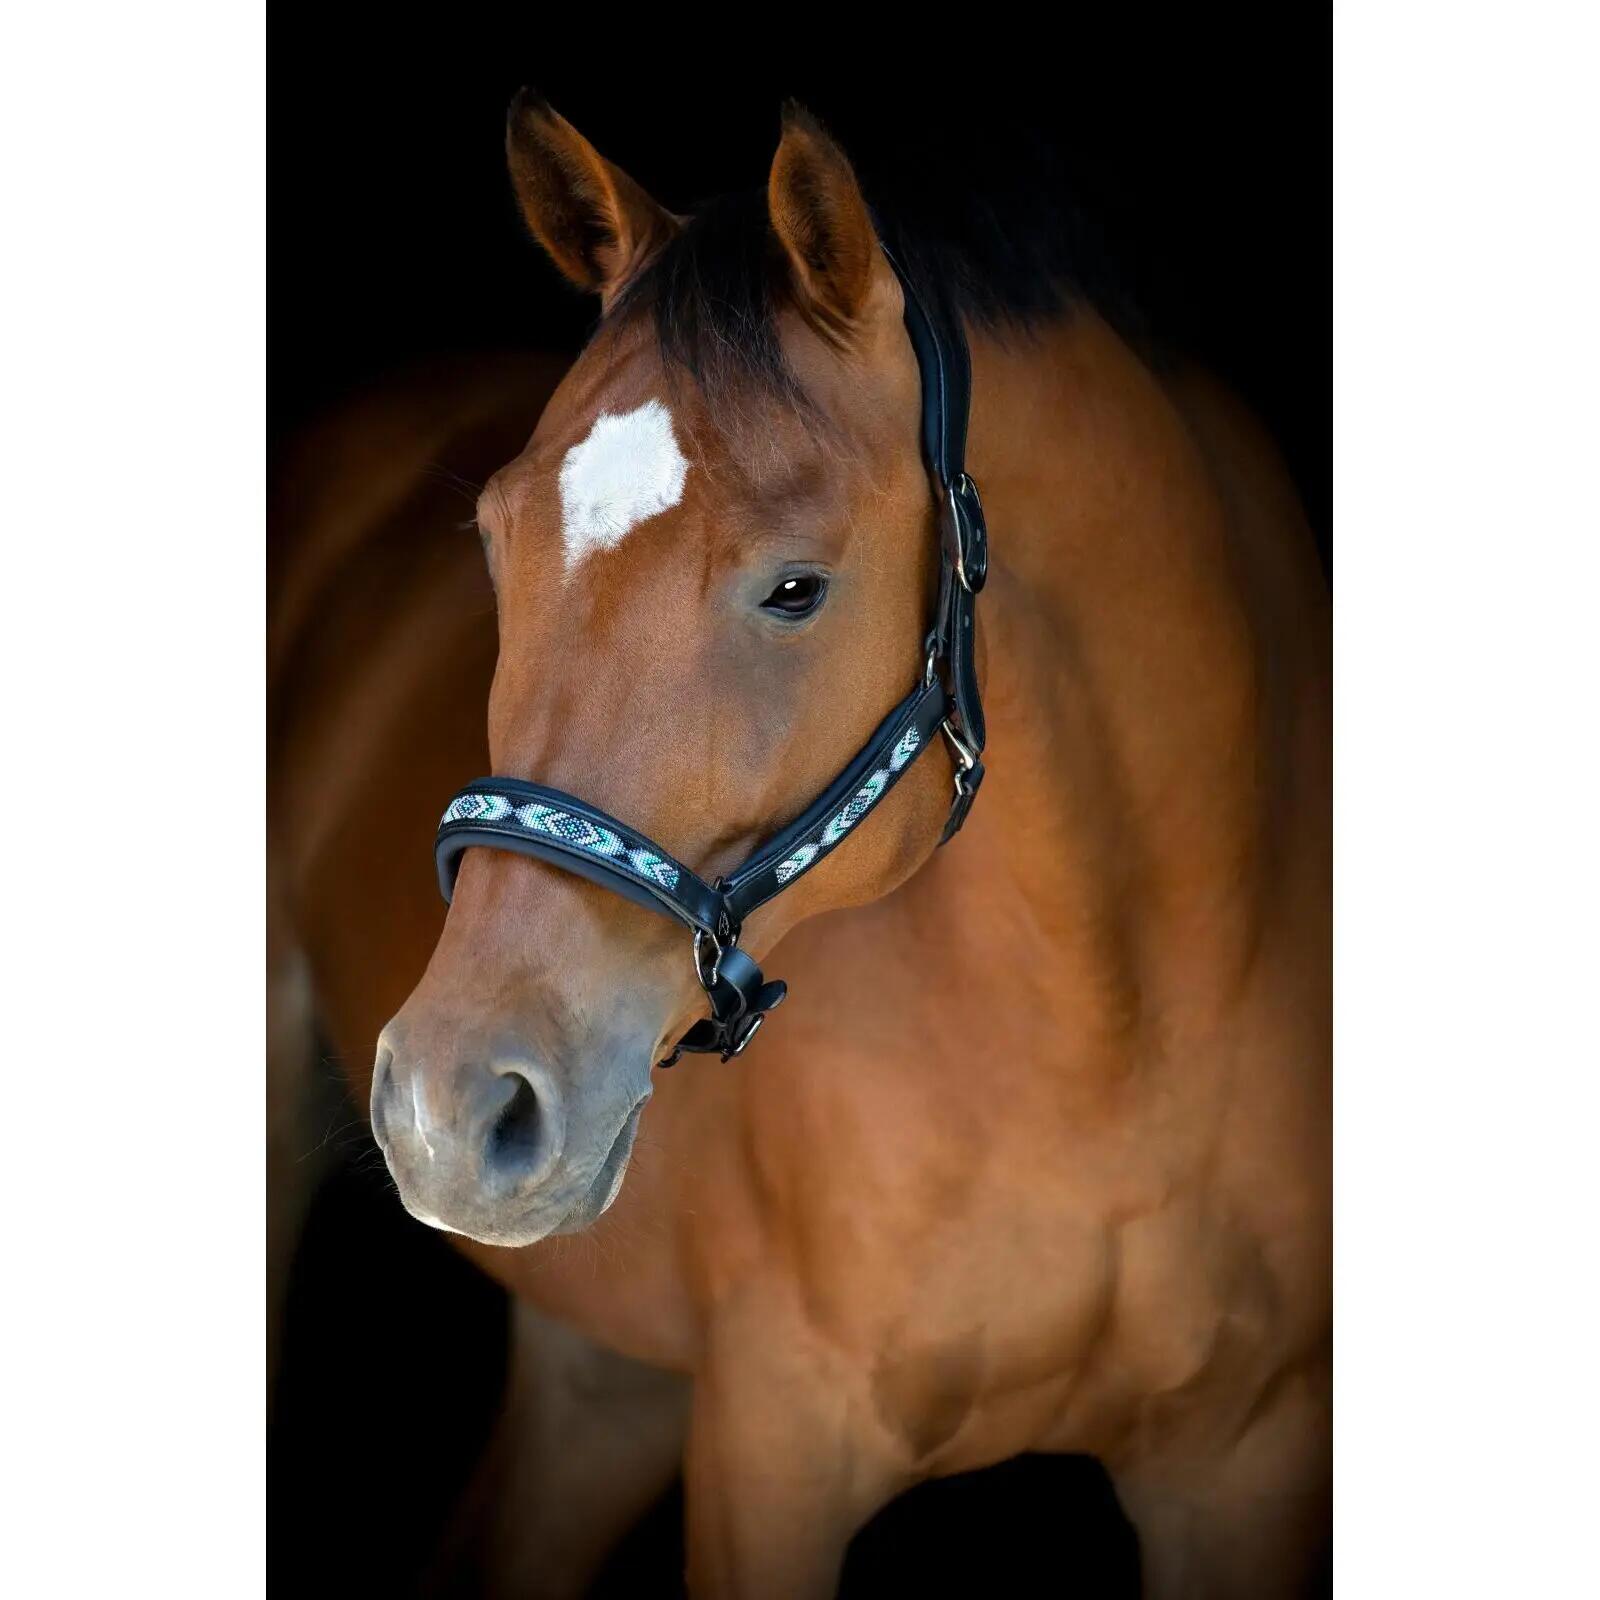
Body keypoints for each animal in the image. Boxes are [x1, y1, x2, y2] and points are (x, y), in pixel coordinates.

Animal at [270, 98, 1330, 1597]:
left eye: (794, 588)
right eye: (493, 542)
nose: (448, 1109)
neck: (1119, 1028)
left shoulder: (1250, 1461)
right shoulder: (775, 1439)